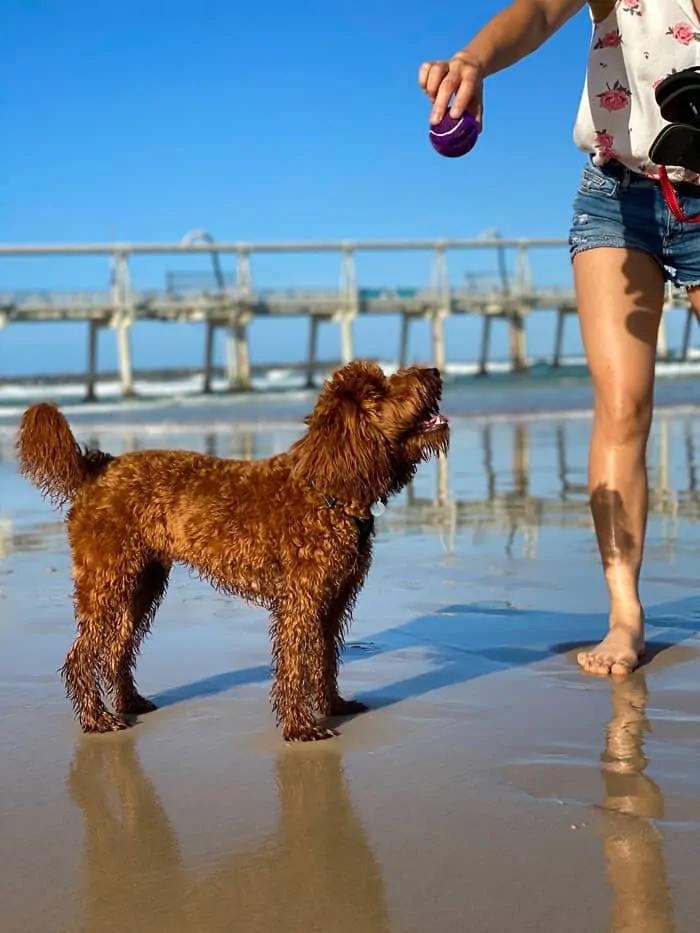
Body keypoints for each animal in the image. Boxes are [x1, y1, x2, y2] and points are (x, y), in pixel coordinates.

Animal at [19, 360, 452, 740]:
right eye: (378, 390)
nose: (433, 371)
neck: (328, 489)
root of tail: (100, 468)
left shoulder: (334, 599)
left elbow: (325, 657)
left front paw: (333, 705)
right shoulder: (301, 601)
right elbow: (296, 664)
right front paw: (301, 728)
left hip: (141, 583)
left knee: (116, 649)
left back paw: (129, 702)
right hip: (107, 580)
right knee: (81, 656)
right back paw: (96, 719)